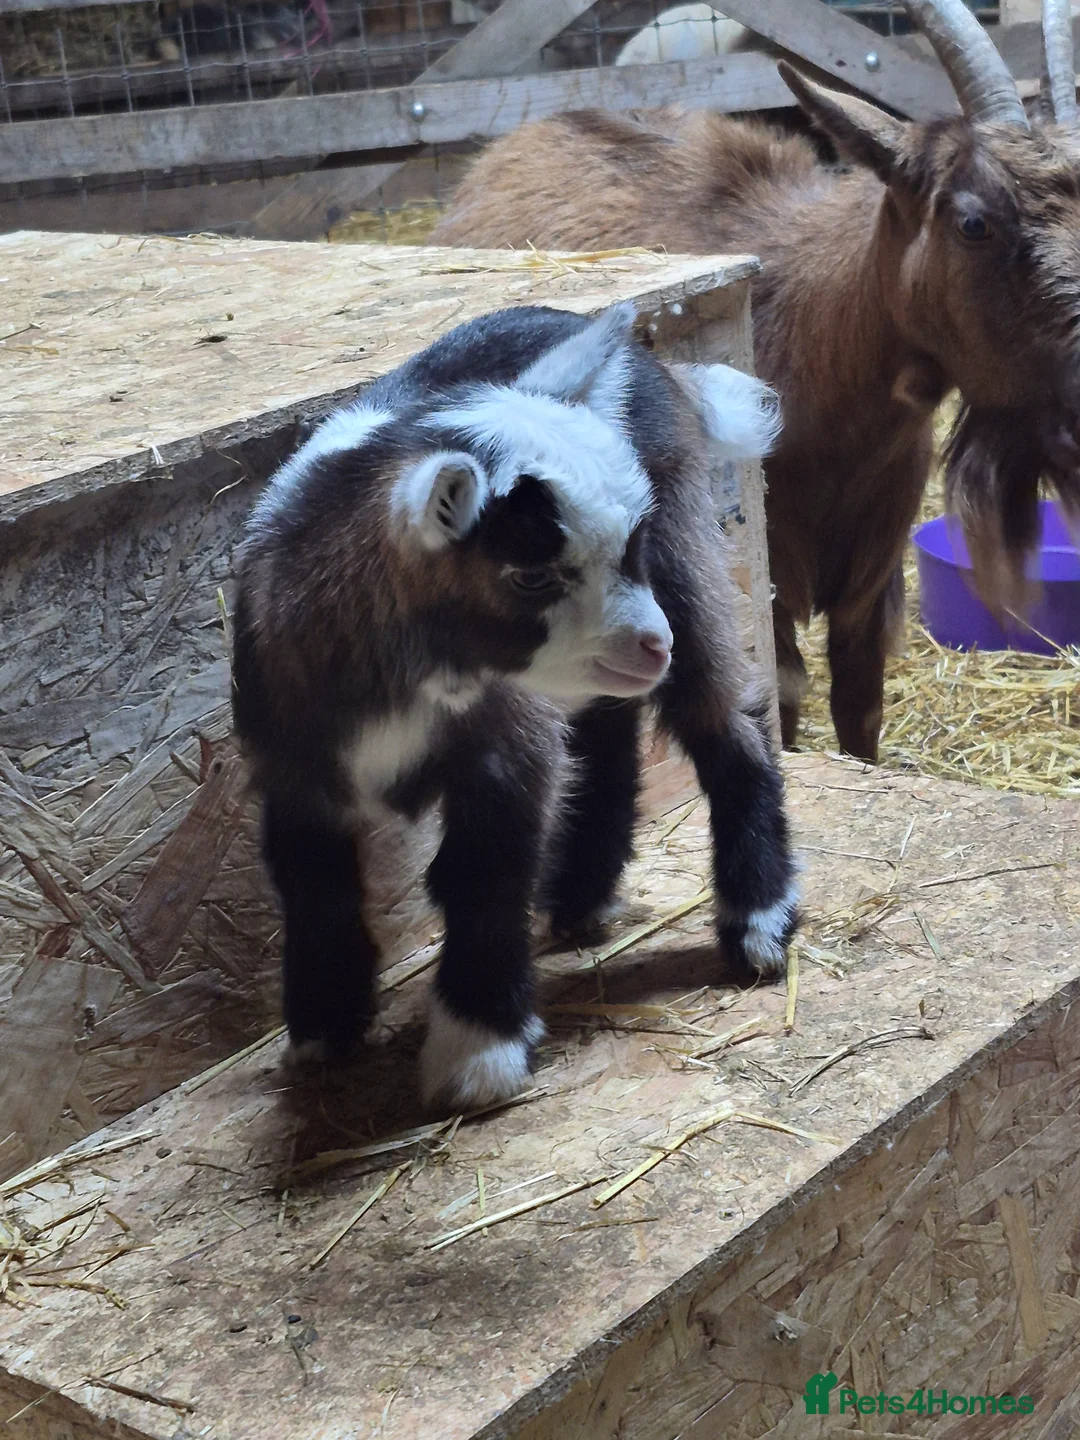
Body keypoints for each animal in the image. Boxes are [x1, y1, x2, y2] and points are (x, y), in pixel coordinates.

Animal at [232, 302, 796, 1110]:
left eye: (631, 544)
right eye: (531, 577)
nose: (652, 644)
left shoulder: (502, 746)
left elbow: (483, 870)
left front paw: (478, 1049)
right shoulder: (291, 759)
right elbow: (310, 879)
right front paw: (324, 1020)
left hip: (686, 557)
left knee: (726, 719)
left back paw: (756, 922)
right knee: (608, 730)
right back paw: (584, 894)